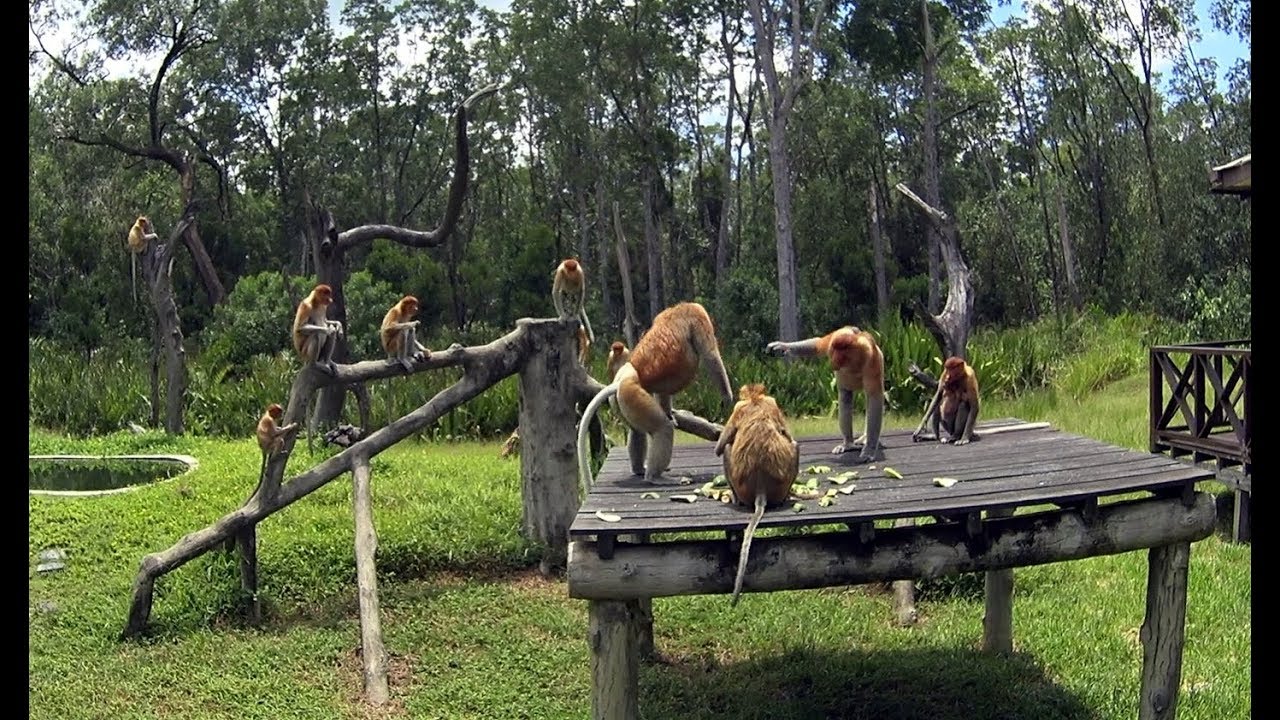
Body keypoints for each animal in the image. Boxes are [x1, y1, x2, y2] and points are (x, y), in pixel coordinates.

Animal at [576, 302, 734, 493]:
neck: (677, 308)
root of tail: (625, 377)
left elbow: (664, 391)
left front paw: (670, 414)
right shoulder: (697, 314)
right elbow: (711, 355)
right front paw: (727, 398)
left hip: (622, 400)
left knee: (637, 431)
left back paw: (639, 469)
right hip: (633, 394)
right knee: (662, 429)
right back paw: (655, 477)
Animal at [714, 384, 799, 607]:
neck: (755, 400)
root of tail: (762, 488)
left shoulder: (742, 407)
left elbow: (720, 447)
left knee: (727, 448)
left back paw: (736, 500)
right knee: (794, 445)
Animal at [766, 325, 885, 464]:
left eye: (842, 352)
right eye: (835, 350)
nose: (834, 361)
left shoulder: (871, 360)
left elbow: (874, 397)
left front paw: (868, 451)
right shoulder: (833, 339)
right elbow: (817, 345)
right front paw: (779, 346)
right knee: (845, 399)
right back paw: (847, 444)